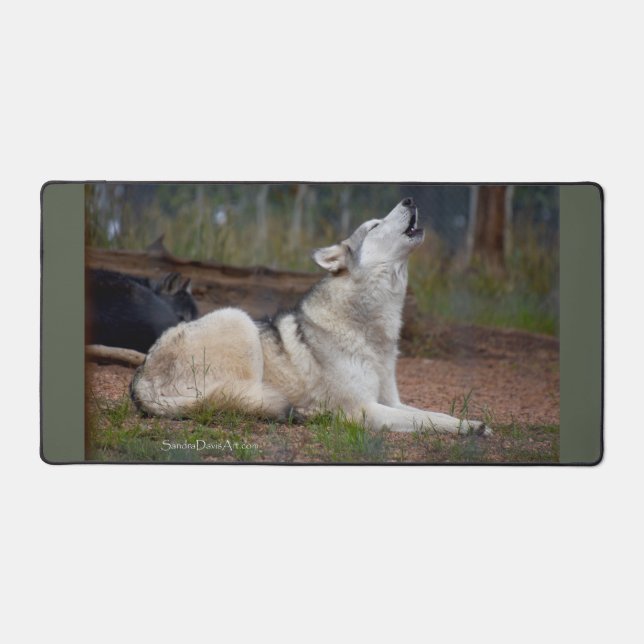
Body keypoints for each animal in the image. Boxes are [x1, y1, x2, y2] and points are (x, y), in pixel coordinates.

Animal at [131, 198, 491, 435]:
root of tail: (140, 382)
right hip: (238, 320)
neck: (369, 332)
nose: (410, 198)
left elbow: (435, 414)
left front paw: (473, 425)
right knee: (242, 400)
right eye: (374, 225)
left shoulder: (391, 401)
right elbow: (426, 420)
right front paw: (469, 429)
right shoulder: (363, 409)